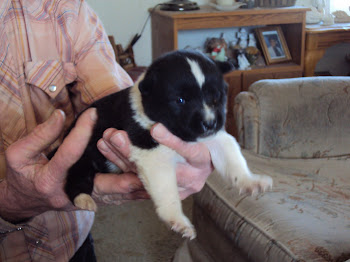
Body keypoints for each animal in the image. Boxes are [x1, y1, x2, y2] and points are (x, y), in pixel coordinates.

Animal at [63, 49, 272, 239]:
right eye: (180, 100)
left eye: (216, 97)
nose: (210, 123)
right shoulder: (153, 155)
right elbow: (167, 191)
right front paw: (178, 220)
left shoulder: (215, 138)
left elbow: (233, 158)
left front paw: (250, 181)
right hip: (83, 155)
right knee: (76, 174)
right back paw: (83, 198)